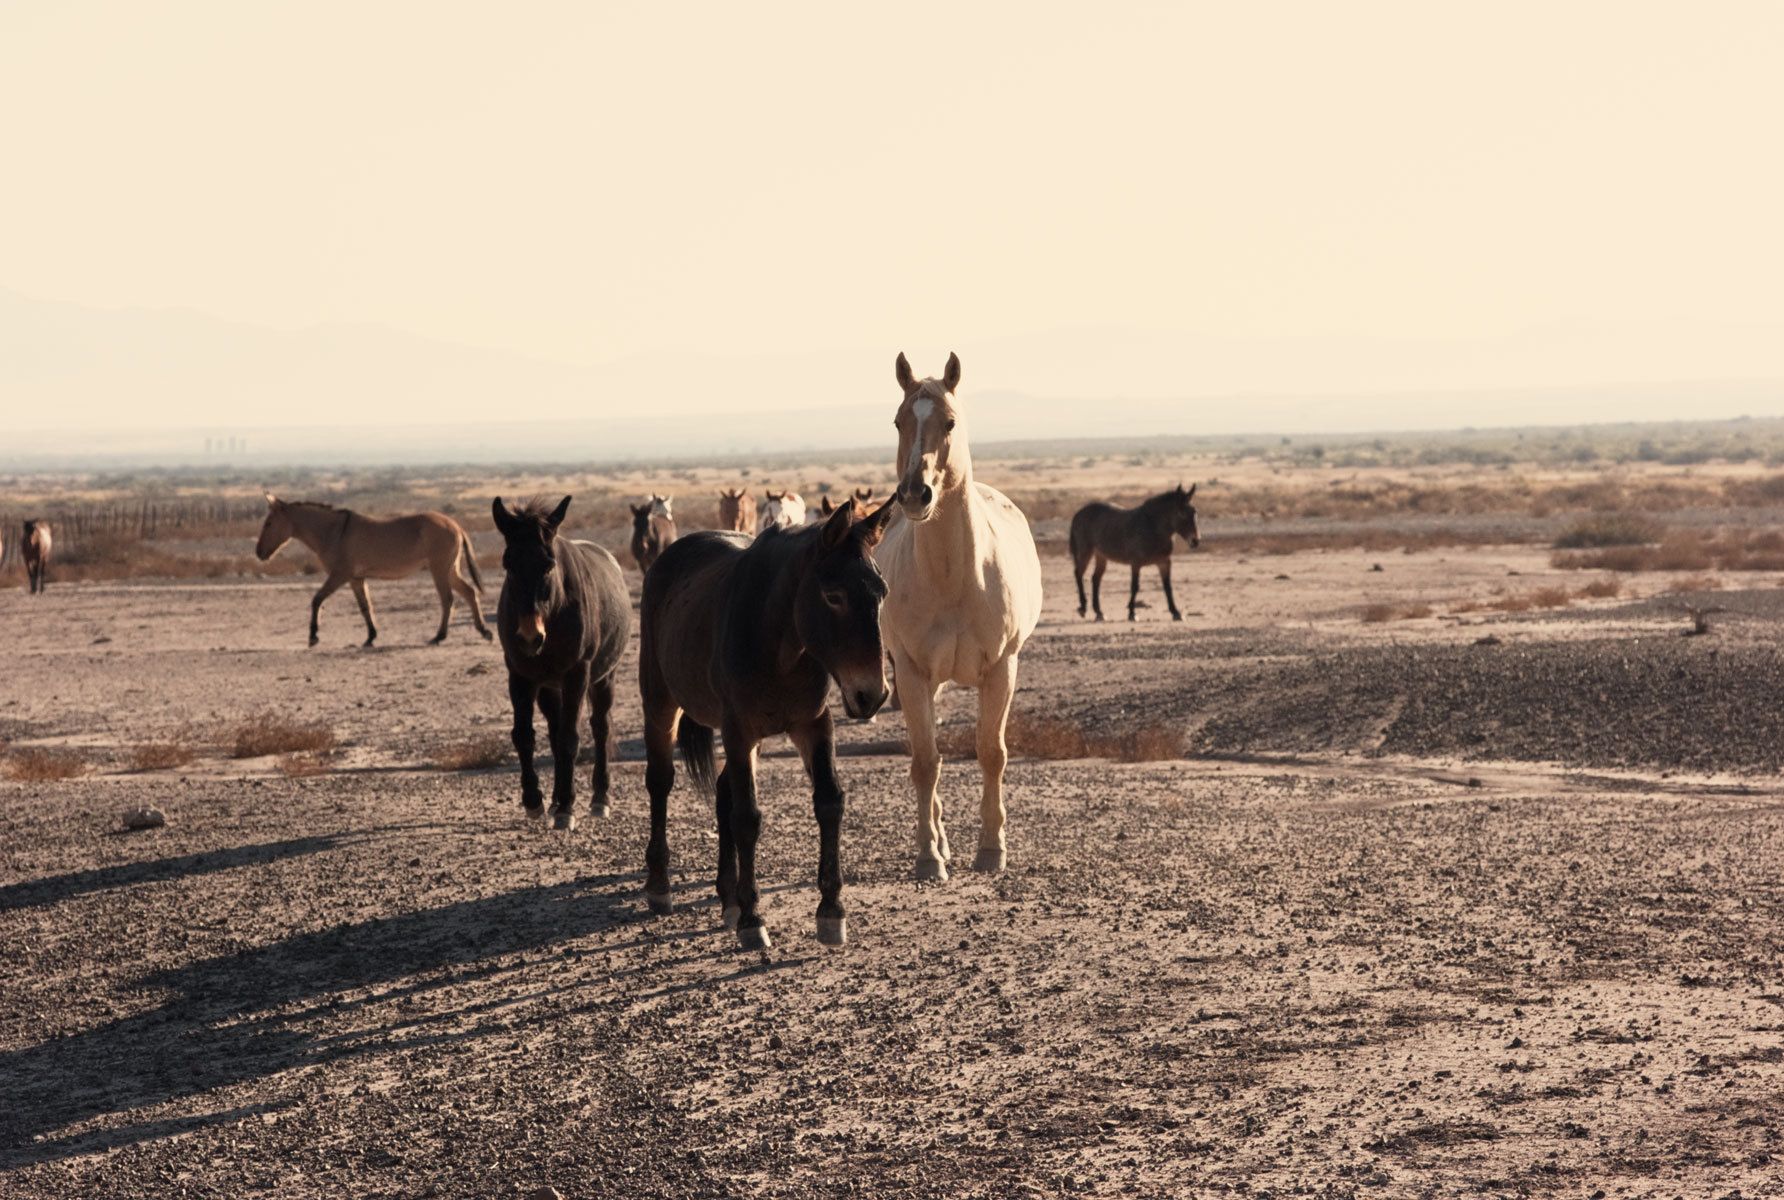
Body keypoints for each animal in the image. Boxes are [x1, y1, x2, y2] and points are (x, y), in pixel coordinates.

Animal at [255, 495, 490, 647]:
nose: (259, 553)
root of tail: (455, 525)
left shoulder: (339, 575)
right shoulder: (356, 579)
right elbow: (365, 606)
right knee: (469, 592)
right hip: (450, 569)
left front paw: (313, 637)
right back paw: (484, 631)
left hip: (439, 569)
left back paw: (439, 636)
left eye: (268, 523)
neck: (333, 532)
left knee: (448, 599)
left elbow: (317, 599)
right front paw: (370, 637)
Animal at [493, 496, 632, 829]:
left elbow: (570, 738)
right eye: (508, 563)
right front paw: (534, 800)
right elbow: (524, 736)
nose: (530, 637)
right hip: (548, 686)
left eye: (549, 564)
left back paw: (599, 799)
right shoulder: (520, 675)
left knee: (600, 727)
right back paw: (556, 798)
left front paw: (567, 808)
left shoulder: (576, 674)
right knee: (554, 730)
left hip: (603, 678)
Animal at [638, 496, 897, 949]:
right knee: (661, 782)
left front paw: (831, 910)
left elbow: (828, 802)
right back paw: (660, 885)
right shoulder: (738, 729)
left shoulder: (813, 725)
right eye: (833, 596)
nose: (873, 694)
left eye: (880, 592)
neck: (779, 644)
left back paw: (727, 896)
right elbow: (747, 817)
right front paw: (753, 918)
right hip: (660, 703)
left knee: (723, 792)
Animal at [878, 352, 1043, 881]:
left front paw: (992, 850)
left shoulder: (1002, 669)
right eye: (899, 421)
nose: (915, 494)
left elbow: (991, 753)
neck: (954, 579)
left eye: (949, 422)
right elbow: (926, 761)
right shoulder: (911, 672)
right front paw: (929, 856)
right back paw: (941, 841)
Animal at [1070, 485, 1200, 621]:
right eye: (1181, 513)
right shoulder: (1136, 564)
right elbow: (1135, 587)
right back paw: (1083, 608)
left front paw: (1175, 612)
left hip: (1101, 556)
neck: (1152, 527)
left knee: (1095, 578)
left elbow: (1167, 587)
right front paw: (1132, 613)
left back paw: (1099, 612)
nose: (1195, 541)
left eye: (1195, 512)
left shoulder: (1164, 563)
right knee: (1078, 574)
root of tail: (1078, 513)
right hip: (1085, 552)